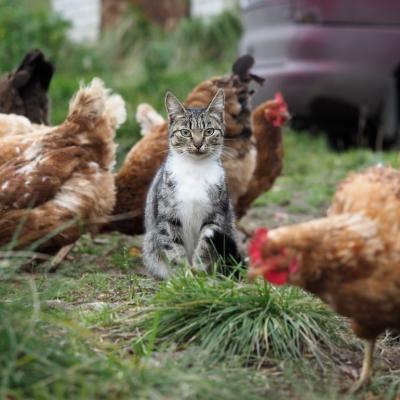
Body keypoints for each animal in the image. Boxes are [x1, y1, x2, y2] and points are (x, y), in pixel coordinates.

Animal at [143, 89, 241, 280]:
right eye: (185, 132)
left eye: (209, 131)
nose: (198, 144)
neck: (195, 170)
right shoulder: (168, 217)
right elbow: (174, 248)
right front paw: (185, 275)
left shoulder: (215, 215)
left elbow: (204, 245)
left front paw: (198, 273)